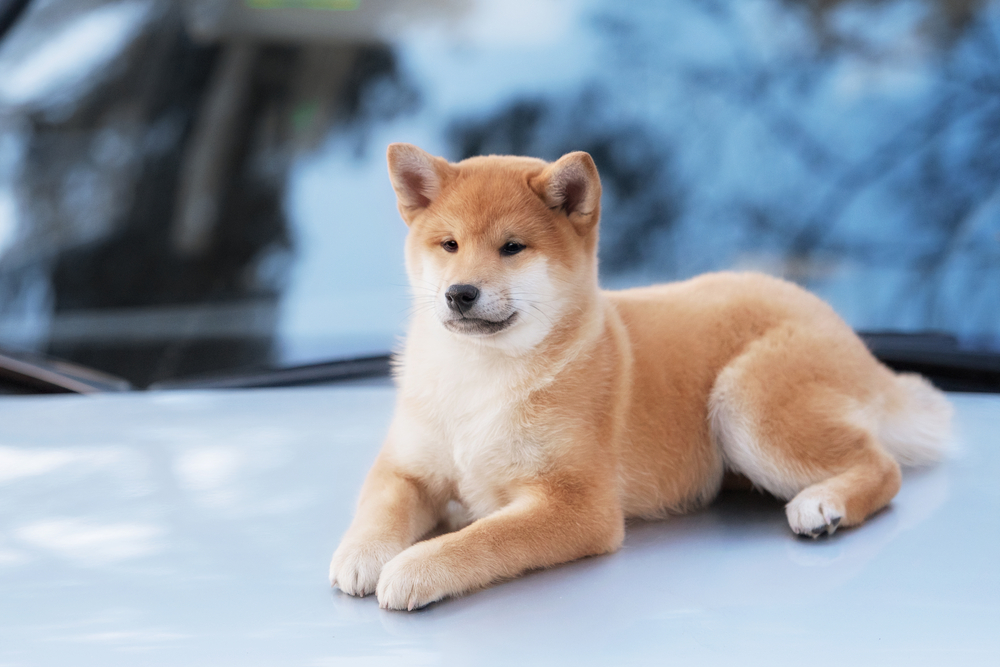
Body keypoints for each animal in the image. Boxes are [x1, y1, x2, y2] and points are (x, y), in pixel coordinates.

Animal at [330, 142, 952, 612]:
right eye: (449, 245)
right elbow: (380, 506)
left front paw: (416, 567)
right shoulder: (406, 466)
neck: (480, 377)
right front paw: (362, 553)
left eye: (511, 248)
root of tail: (843, 326)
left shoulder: (579, 505)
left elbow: (484, 537)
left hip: (743, 401)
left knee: (884, 466)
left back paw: (823, 504)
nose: (460, 293)